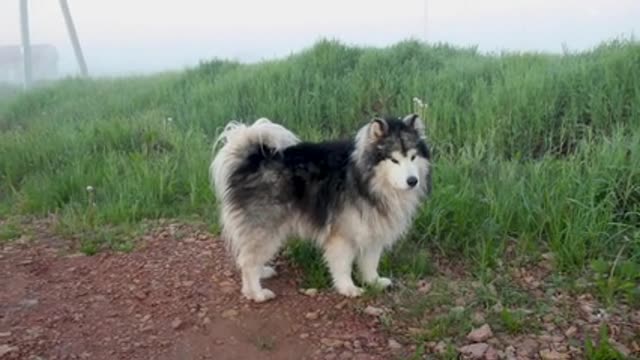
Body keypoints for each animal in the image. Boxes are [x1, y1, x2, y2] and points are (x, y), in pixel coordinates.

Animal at [210, 114, 430, 302]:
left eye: (412, 157)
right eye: (394, 160)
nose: (413, 181)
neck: (365, 180)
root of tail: (252, 160)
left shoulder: (373, 229)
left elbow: (370, 262)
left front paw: (373, 281)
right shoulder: (342, 235)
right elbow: (343, 265)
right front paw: (348, 288)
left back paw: (262, 271)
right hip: (266, 228)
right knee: (247, 262)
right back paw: (255, 293)